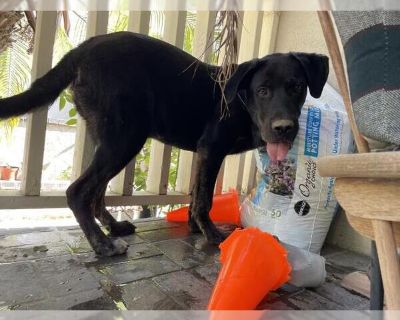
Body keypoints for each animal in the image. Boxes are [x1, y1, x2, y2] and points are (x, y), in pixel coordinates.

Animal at [0, 32, 328, 256]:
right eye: (263, 90)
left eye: (297, 87)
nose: (284, 128)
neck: (242, 100)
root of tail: (83, 48)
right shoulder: (212, 150)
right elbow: (204, 198)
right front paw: (212, 234)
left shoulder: (203, 155)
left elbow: (196, 195)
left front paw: (196, 227)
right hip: (124, 139)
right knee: (78, 191)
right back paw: (103, 244)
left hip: (112, 140)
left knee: (97, 191)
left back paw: (113, 227)